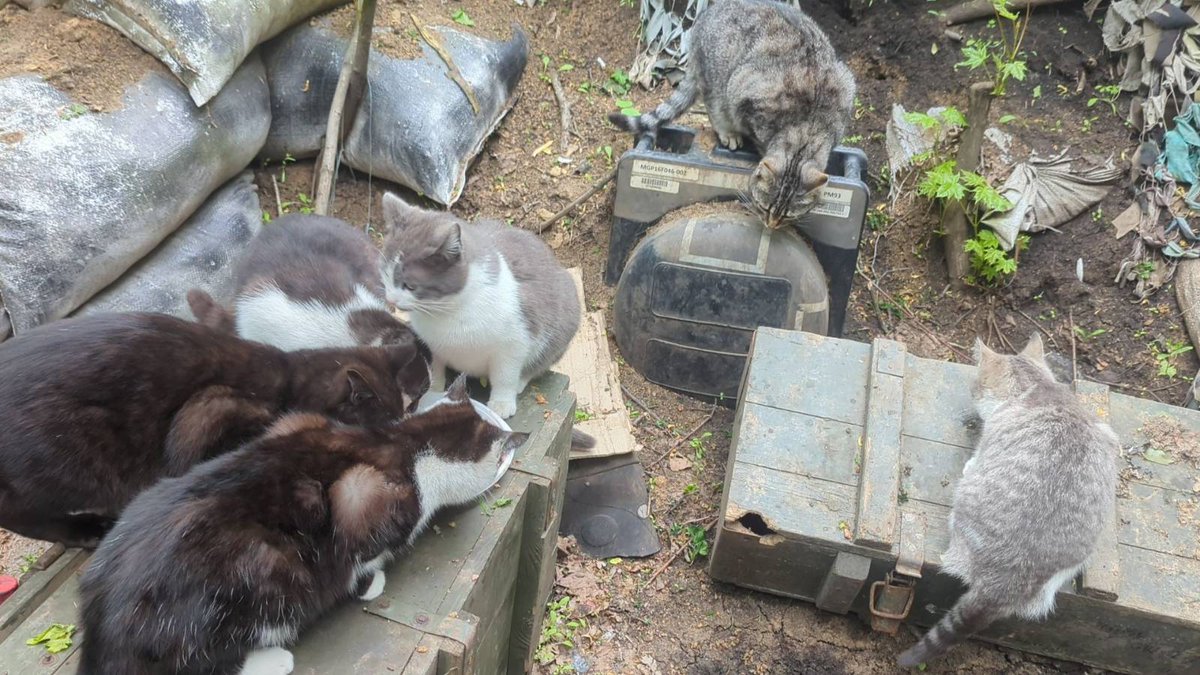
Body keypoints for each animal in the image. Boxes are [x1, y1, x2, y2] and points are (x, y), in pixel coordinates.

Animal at [79, 372, 520, 672]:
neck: (409, 444)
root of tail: (103, 630)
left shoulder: (299, 422)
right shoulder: (362, 497)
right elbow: (359, 554)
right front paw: (370, 582)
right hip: (263, 576)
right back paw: (274, 660)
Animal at [376, 192, 578, 417]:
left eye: (410, 286)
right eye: (385, 274)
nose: (391, 299)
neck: (447, 311)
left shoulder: (514, 343)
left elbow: (504, 376)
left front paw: (501, 404)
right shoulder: (432, 344)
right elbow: (435, 367)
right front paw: (433, 391)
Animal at [609, 0, 854, 227]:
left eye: (788, 216)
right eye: (765, 208)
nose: (771, 225)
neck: (806, 128)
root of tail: (705, 17)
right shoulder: (745, 94)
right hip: (720, 83)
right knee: (713, 107)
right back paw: (729, 133)